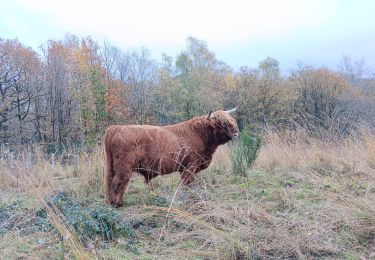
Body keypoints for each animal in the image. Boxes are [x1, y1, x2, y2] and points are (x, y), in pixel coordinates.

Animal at [102, 107, 241, 207]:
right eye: (221, 123)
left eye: (231, 120)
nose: (236, 133)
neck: (201, 135)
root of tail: (117, 127)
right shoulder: (190, 165)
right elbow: (187, 182)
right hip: (124, 167)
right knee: (119, 182)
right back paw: (118, 203)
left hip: (113, 166)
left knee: (112, 181)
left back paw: (112, 202)